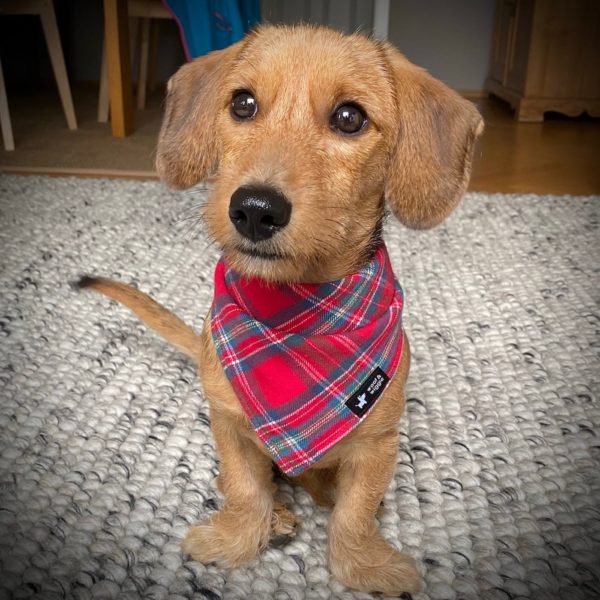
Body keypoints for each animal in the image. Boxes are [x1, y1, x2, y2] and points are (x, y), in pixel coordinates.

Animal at [79, 23, 482, 596]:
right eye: (243, 104)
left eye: (350, 117)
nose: (254, 209)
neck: (293, 313)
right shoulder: (227, 425)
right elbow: (245, 488)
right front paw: (238, 538)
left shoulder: (378, 443)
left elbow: (356, 512)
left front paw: (362, 563)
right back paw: (278, 516)